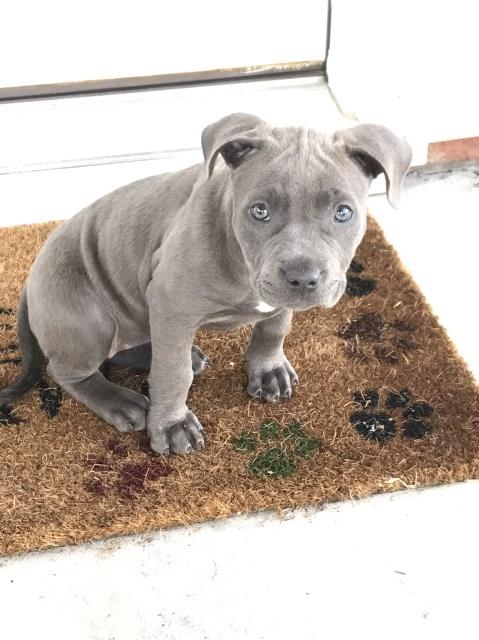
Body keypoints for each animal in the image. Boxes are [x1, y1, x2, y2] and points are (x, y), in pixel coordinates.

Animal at [0, 114, 412, 456]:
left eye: (344, 213)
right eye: (259, 211)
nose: (302, 278)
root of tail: (29, 282)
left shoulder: (272, 300)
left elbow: (274, 327)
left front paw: (268, 369)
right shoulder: (170, 302)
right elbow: (172, 372)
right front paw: (172, 426)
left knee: (129, 348)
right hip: (87, 319)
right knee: (71, 371)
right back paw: (120, 401)